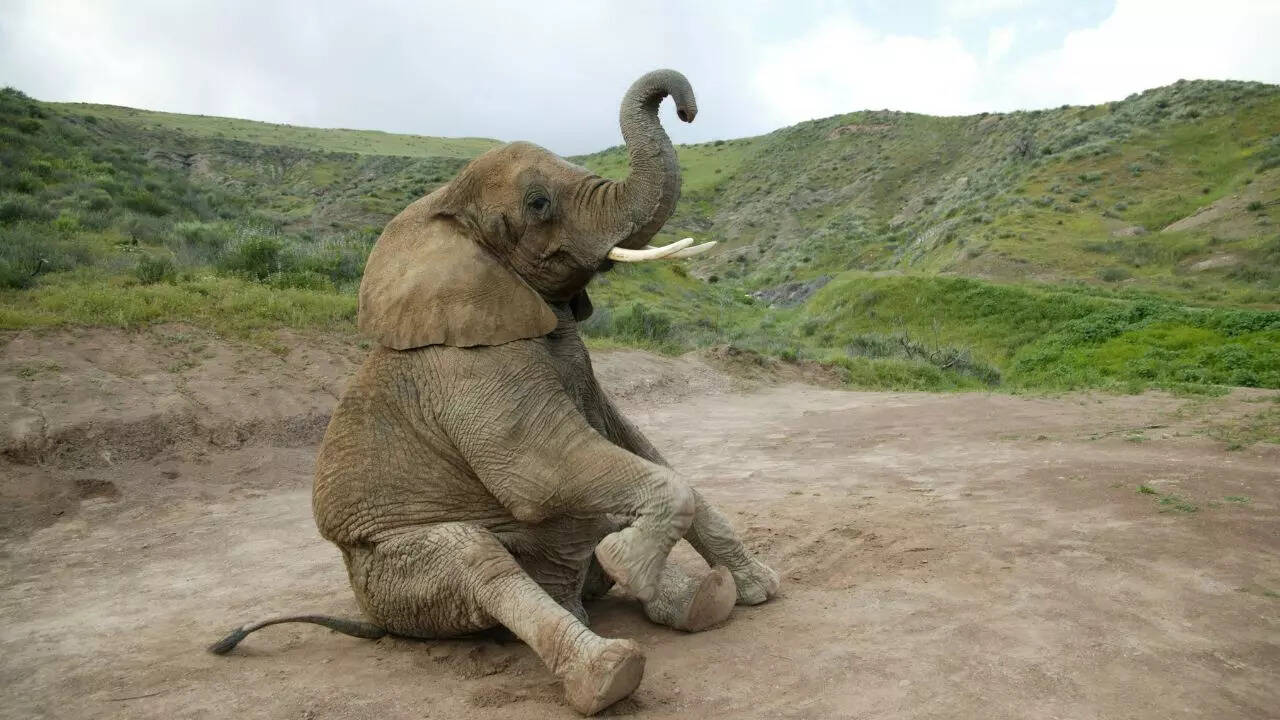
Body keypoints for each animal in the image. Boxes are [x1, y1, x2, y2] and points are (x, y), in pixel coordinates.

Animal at [208, 69, 779, 716]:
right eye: (538, 203)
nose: (686, 108)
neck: (442, 210)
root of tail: (374, 620)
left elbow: (638, 447)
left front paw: (759, 588)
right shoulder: (466, 367)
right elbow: (541, 472)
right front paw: (629, 562)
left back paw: (703, 600)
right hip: (396, 575)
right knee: (479, 562)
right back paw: (608, 669)